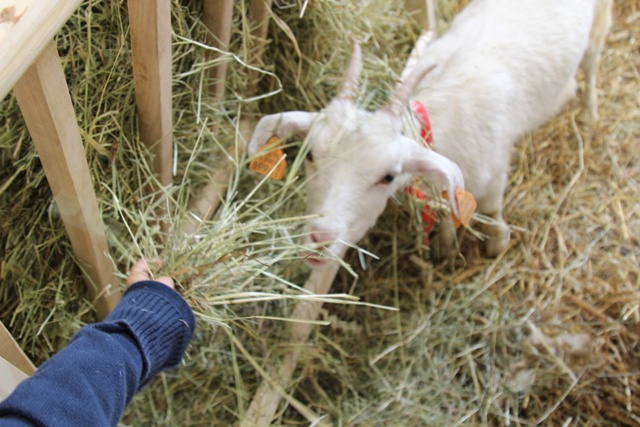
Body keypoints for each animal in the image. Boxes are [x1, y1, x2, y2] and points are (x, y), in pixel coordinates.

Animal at [248, 0, 612, 266]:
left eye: (388, 177)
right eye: (309, 155)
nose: (320, 240)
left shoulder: (495, 170)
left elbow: (491, 206)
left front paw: (497, 241)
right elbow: (448, 204)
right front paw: (446, 244)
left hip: (600, 19)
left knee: (593, 61)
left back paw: (591, 112)